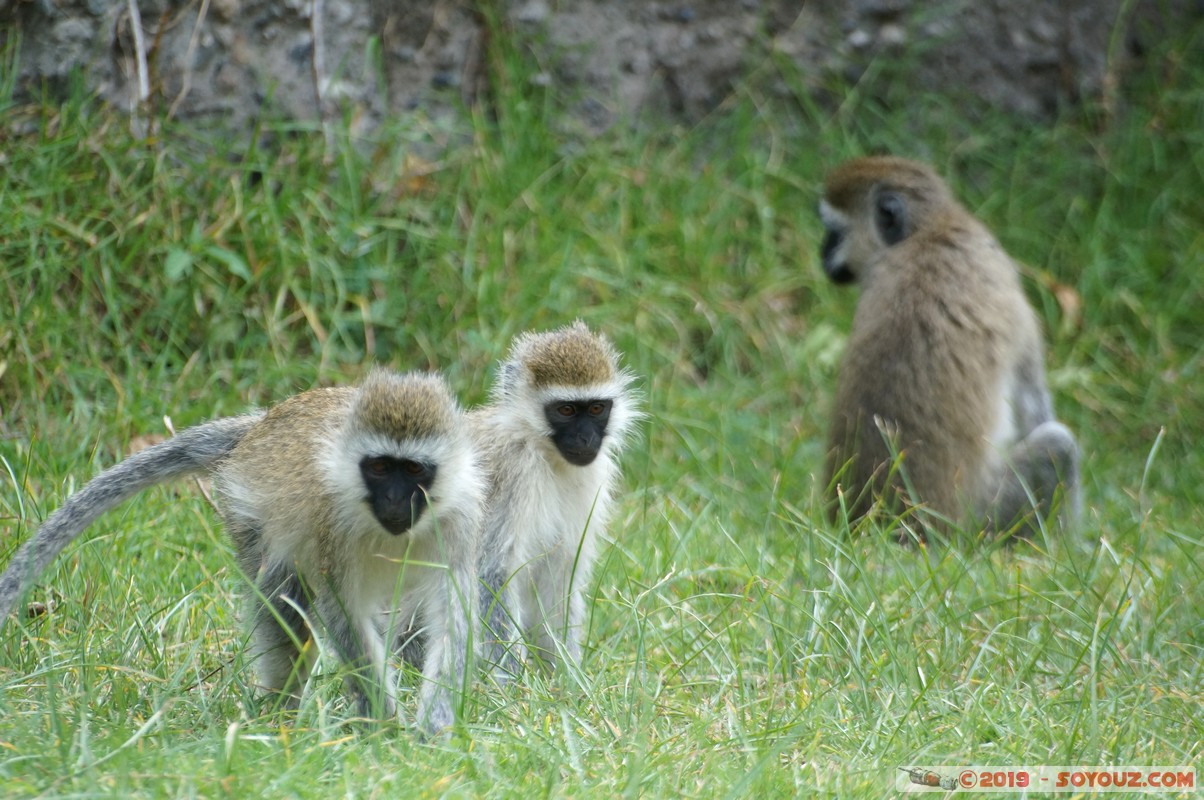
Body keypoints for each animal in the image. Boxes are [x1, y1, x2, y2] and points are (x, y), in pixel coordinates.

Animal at [0, 368, 479, 732]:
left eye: (413, 470)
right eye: (379, 468)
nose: (395, 501)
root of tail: (259, 426)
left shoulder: (460, 519)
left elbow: (451, 615)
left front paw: (434, 726)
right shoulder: (333, 525)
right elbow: (341, 611)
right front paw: (381, 723)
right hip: (247, 512)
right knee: (283, 601)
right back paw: (280, 710)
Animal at [469, 322, 640, 679]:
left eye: (596, 408)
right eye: (565, 410)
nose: (586, 439)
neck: (543, 454)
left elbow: (559, 573)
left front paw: (567, 675)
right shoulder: (510, 473)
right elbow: (491, 574)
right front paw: (511, 681)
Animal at [818, 154, 1083, 537]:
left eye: (834, 232)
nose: (822, 253)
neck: (929, 231)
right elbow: (1035, 412)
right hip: (986, 518)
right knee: (1058, 446)